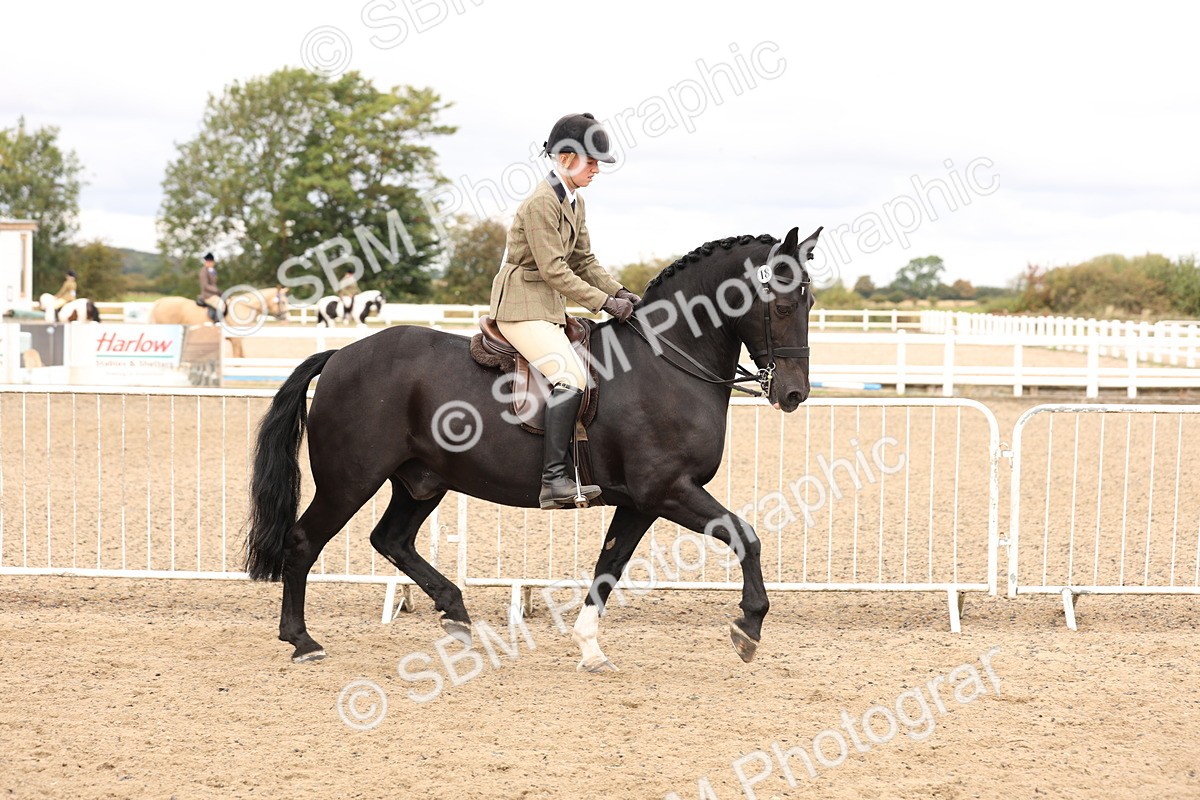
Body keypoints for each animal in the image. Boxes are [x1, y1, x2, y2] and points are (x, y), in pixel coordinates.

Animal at [246, 226, 822, 670]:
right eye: (782, 304)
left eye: (811, 302)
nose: (794, 394)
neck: (666, 361)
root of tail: (341, 354)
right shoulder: (668, 490)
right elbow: (746, 537)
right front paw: (749, 626)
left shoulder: (641, 502)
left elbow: (609, 566)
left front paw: (590, 649)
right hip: (349, 480)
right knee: (304, 542)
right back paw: (303, 642)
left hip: (422, 481)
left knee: (392, 540)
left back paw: (457, 615)